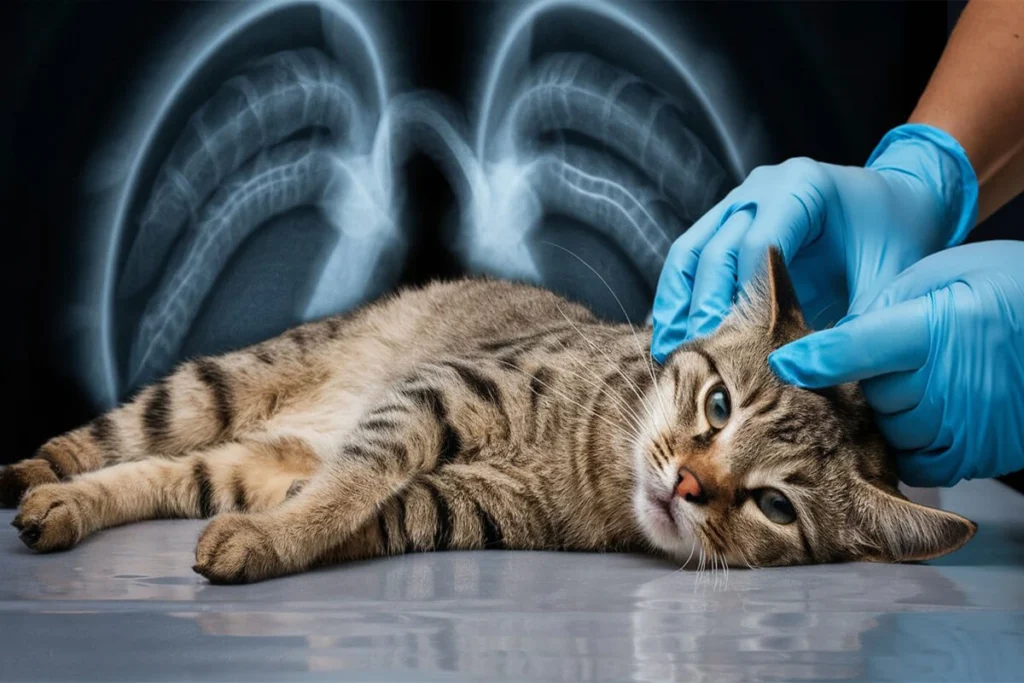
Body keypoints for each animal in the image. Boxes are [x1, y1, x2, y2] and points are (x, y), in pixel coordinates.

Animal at [2, 249, 974, 581]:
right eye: (718, 403)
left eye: (775, 504)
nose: (691, 484)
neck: (590, 463)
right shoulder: (445, 391)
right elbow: (359, 475)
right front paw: (288, 532)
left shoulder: (465, 506)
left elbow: (368, 507)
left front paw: (272, 539)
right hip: (219, 385)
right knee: (119, 437)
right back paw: (43, 473)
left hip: (249, 459)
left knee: (168, 475)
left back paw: (66, 507)